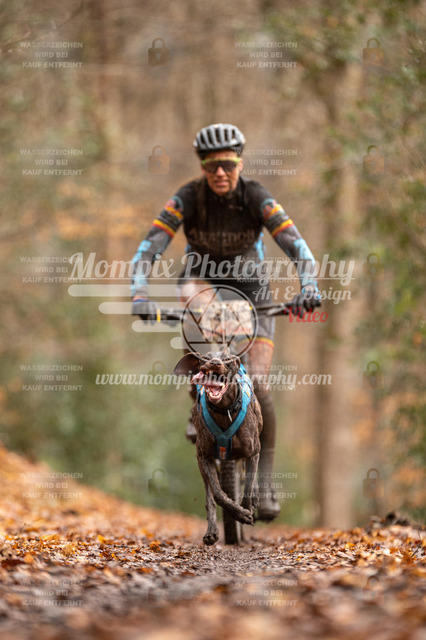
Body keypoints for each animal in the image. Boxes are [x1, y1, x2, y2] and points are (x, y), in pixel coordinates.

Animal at [174, 350, 263, 546]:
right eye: (206, 358)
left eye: (228, 359)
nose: (215, 363)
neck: (224, 410)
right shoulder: (203, 456)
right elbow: (218, 494)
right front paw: (240, 514)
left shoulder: (253, 452)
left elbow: (248, 487)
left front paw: (246, 508)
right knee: (210, 495)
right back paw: (212, 531)